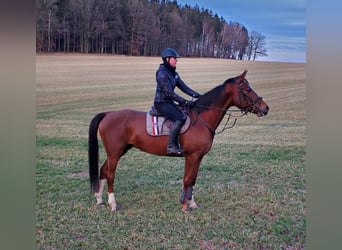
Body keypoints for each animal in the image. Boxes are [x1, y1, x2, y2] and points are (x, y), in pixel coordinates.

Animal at [89, 70, 270, 211]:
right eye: (248, 89)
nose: (266, 108)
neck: (201, 119)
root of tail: (108, 113)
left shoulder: (197, 157)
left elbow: (192, 179)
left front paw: (191, 202)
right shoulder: (192, 156)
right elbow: (187, 179)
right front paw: (184, 205)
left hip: (118, 151)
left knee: (103, 170)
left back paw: (99, 199)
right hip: (115, 153)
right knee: (110, 174)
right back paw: (113, 204)